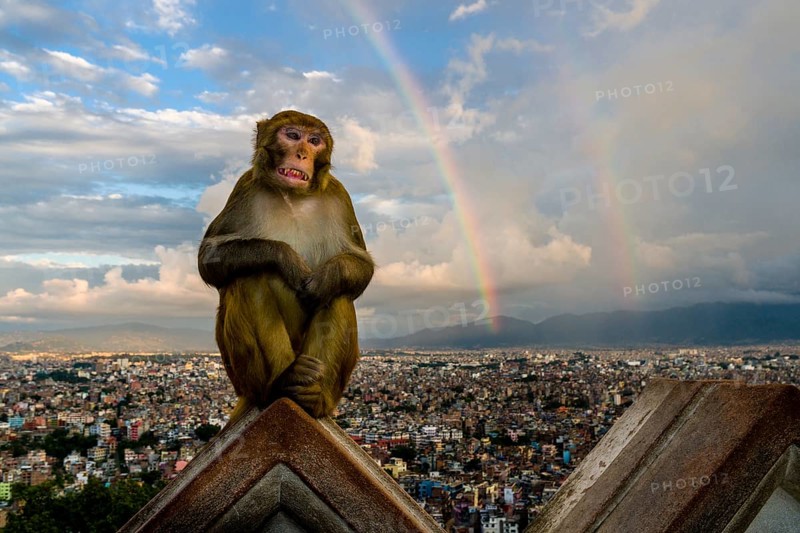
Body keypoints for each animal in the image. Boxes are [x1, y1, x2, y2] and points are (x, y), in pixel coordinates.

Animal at [198, 110, 374, 425]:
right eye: (292, 135)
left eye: (314, 141)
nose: (302, 153)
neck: (293, 196)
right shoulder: (245, 187)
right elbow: (209, 257)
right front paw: (285, 259)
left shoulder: (340, 196)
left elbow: (359, 265)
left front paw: (325, 279)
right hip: (241, 377)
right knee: (250, 277)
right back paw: (283, 382)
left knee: (338, 295)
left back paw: (313, 396)